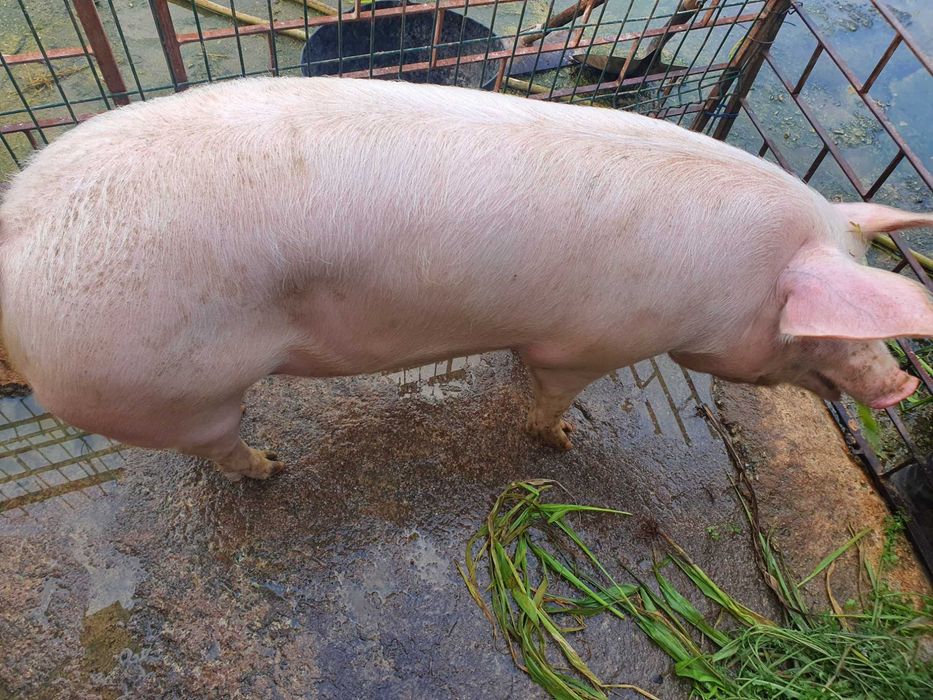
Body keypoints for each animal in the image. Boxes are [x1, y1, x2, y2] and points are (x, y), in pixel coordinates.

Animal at [1, 77, 932, 481]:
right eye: (824, 327)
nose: (898, 386)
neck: (733, 282)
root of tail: (17, 238)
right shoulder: (592, 340)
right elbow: (549, 393)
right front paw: (563, 441)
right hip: (160, 384)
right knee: (216, 446)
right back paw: (269, 465)